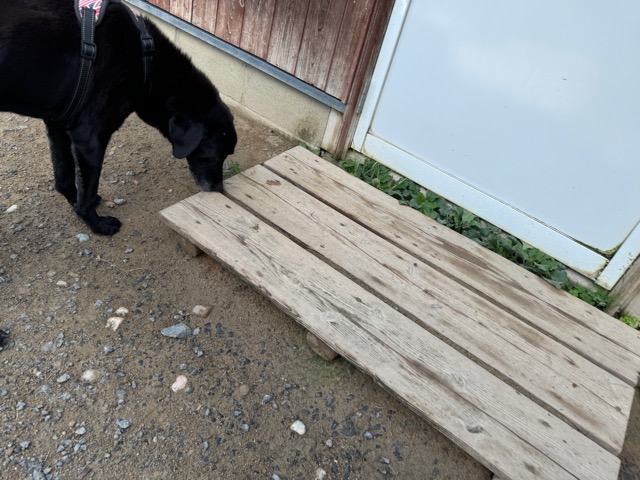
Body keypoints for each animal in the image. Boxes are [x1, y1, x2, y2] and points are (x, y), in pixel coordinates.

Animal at [0, 0, 237, 235]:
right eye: (215, 157)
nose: (218, 189)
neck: (146, 59)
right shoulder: (89, 139)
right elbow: (88, 191)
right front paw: (96, 223)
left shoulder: (57, 125)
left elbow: (65, 179)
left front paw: (76, 203)